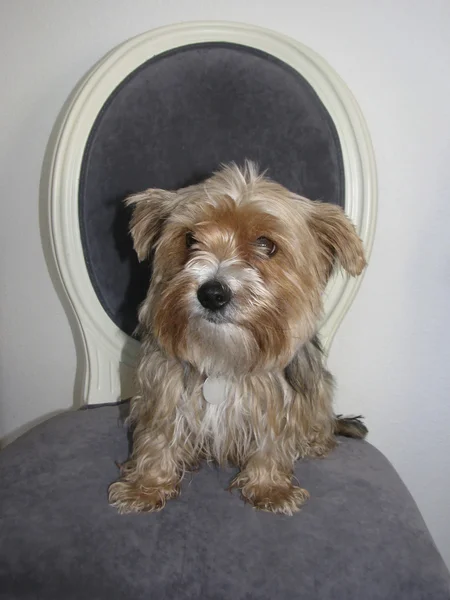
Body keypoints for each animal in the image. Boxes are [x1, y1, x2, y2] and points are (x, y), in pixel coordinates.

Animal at [108, 162, 366, 512]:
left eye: (266, 244)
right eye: (190, 239)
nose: (212, 294)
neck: (222, 355)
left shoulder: (276, 401)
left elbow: (272, 443)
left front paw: (270, 488)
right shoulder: (162, 390)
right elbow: (157, 437)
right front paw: (146, 486)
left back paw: (315, 441)